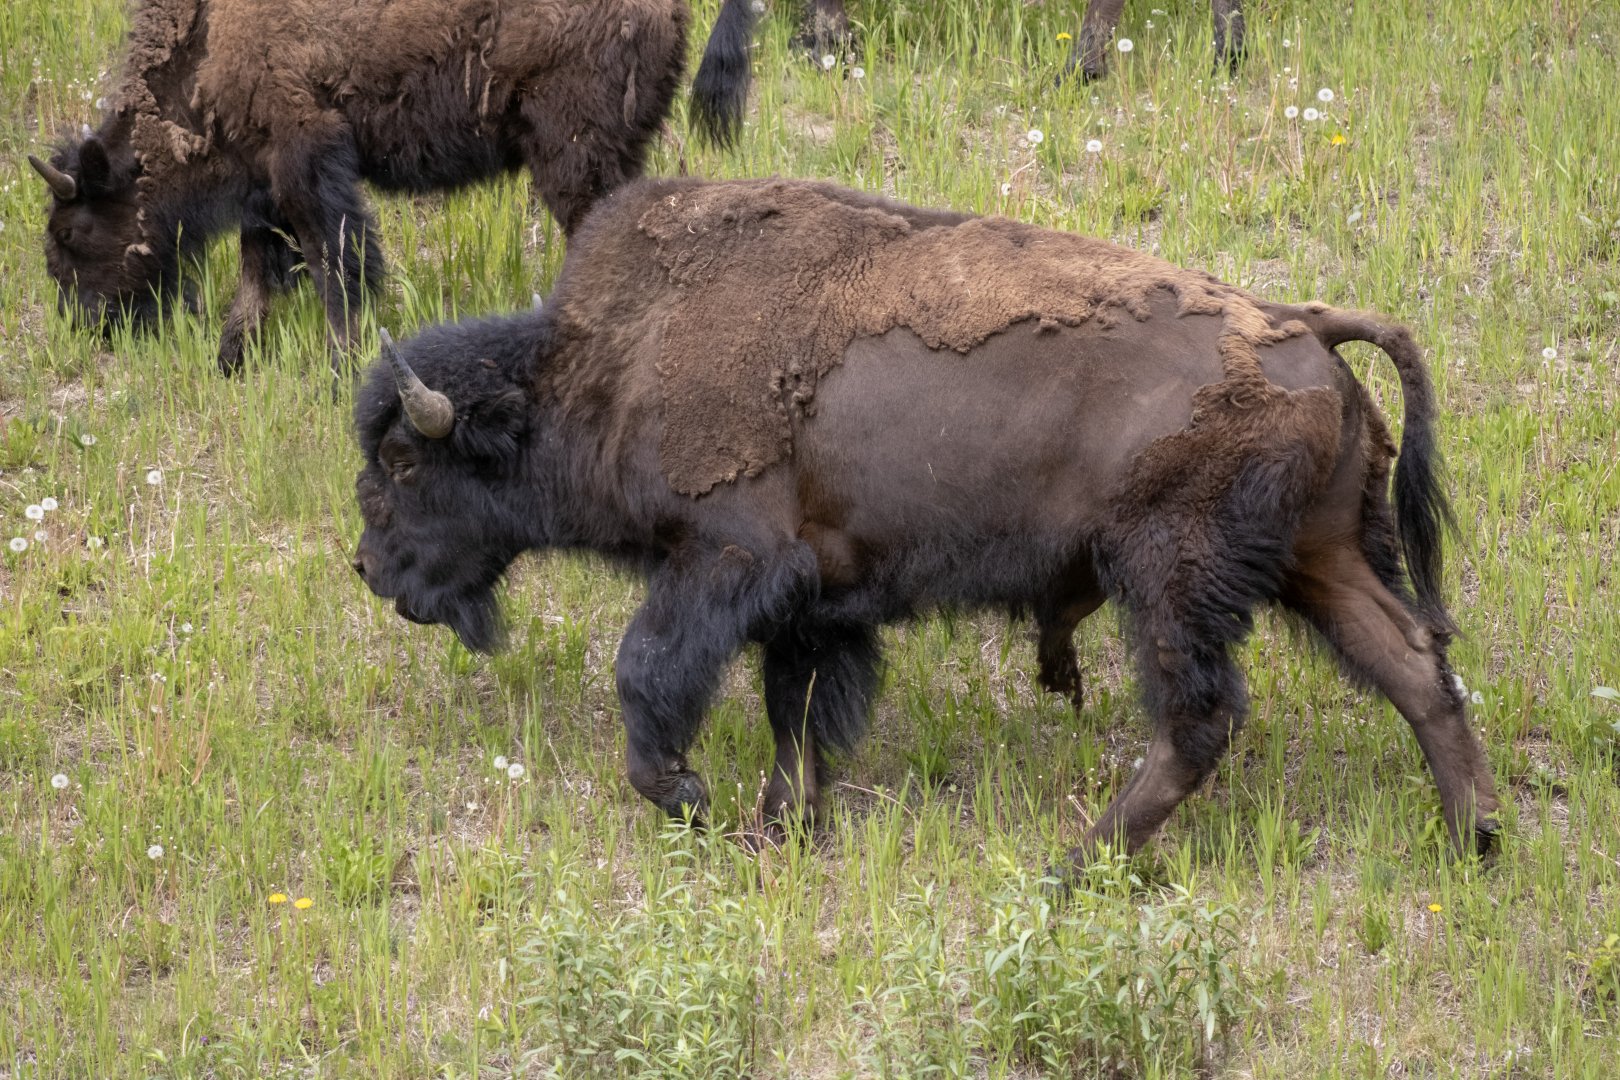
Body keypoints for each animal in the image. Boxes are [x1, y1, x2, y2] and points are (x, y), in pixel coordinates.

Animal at [28, 0, 754, 375]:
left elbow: (339, 266)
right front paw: (233, 358)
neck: (205, 41)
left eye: (71, 231)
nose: (85, 325)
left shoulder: (306, 160)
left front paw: (339, 365)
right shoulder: (265, 183)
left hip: (573, 157)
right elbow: (259, 269)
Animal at [351, 177, 1499, 864]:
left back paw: (1078, 864)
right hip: (1320, 557)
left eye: (403, 462)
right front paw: (784, 827)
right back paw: (1476, 839)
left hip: (1171, 576)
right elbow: (799, 715)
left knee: (1201, 718)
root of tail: (1298, 324)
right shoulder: (816, 603)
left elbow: (650, 679)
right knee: (1414, 669)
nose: (368, 567)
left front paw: (696, 802)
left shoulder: (725, 560)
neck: (613, 363)